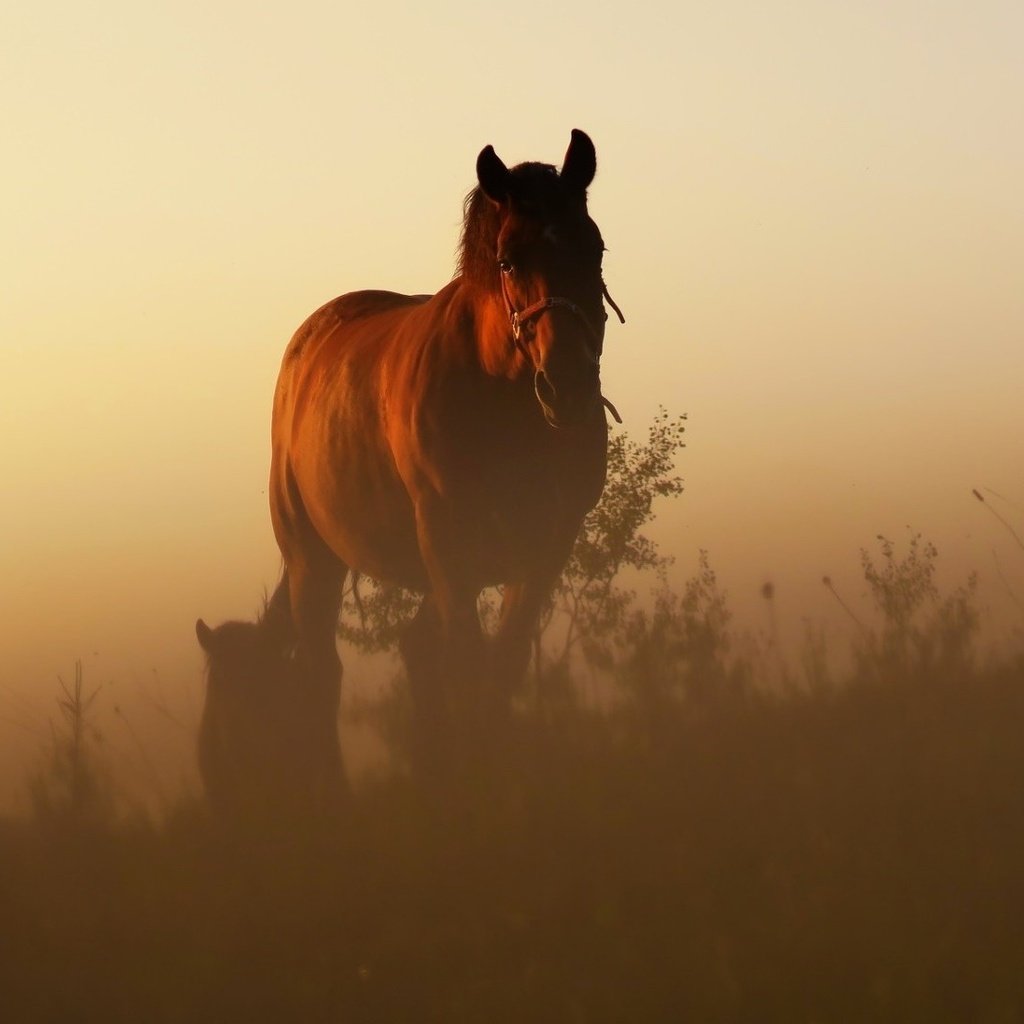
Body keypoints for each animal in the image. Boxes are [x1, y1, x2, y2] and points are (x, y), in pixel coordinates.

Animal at [195, 128, 618, 794]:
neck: (501, 402)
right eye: (508, 260)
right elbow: (466, 666)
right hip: (314, 560)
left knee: (410, 655)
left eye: (594, 249)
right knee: (323, 675)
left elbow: (499, 668)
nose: (568, 386)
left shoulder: (545, 548)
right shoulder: (448, 545)